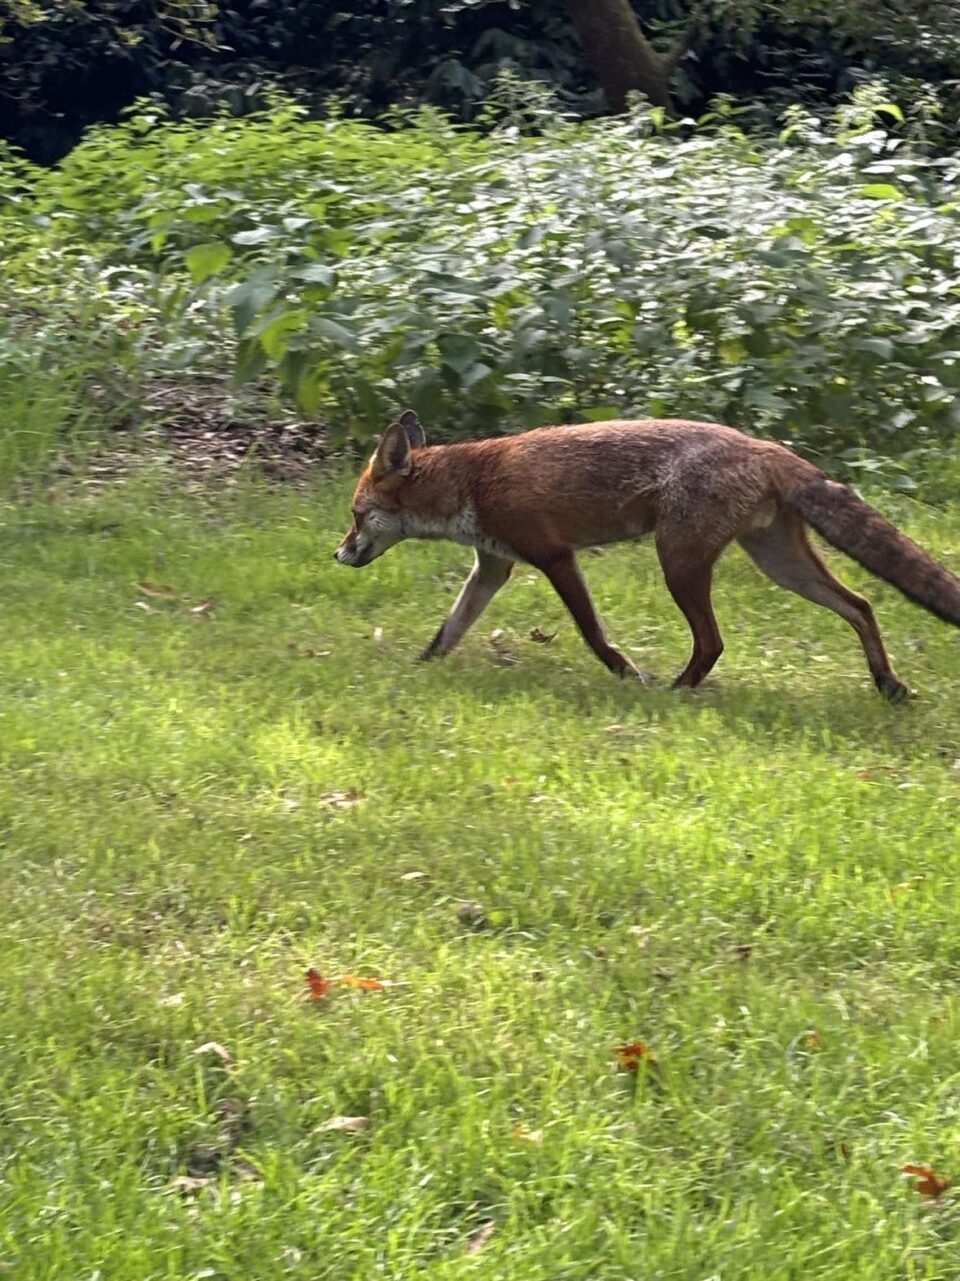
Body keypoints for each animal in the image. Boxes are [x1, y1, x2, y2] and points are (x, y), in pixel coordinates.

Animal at [330, 409, 958, 701]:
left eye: (357, 515)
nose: (338, 554)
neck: (470, 485)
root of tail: (765, 446)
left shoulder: (554, 556)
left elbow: (592, 633)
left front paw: (625, 673)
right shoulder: (494, 567)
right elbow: (447, 631)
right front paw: (416, 673)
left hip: (677, 562)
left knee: (713, 642)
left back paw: (675, 692)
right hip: (778, 564)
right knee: (862, 605)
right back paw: (887, 684)